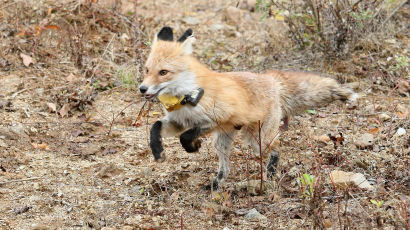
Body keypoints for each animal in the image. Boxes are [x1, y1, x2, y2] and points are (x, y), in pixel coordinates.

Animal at [139, 26, 358, 189]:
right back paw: (216, 184)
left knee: (277, 148)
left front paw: (194, 146)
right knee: (225, 168)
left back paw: (270, 173)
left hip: (257, 140)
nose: (142, 88)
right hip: (223, 142)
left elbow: (186, 137)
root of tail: (270, 79)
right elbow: (155, 127)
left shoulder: (216, 119)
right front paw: (158, 152)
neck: (187, 95)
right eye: (147, 70)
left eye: (163, 72)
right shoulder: (178, 122)